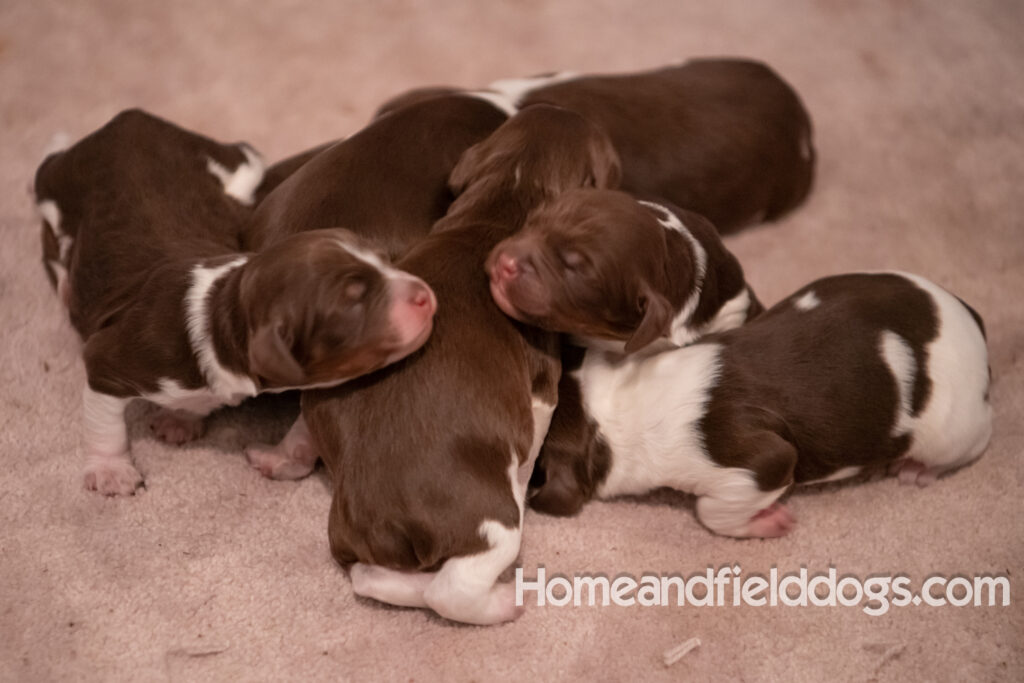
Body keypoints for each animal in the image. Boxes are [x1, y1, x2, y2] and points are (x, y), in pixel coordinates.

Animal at [35, 108, 436, 497]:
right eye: (354, 301)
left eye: (384, 260)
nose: (426, 295)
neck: (218, 308)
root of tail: (124, 122)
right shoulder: (112, 358)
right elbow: (105, 422)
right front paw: (111, 472)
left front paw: (181, 418)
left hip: (237, 165)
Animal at [264, 105, 614, 626]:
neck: (502, 201)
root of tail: (374, 511)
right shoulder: (540, 391)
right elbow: (535, 432)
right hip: (490, 525)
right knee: (450, 590)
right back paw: (504, 602)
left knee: (369, 576)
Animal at [528, 274, 991, 532]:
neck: (615, 400)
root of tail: (972, 321)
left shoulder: (760, 463)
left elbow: (711, 509)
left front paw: (769, 521)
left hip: (954, 431)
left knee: (969, 447)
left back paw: (917, 469)